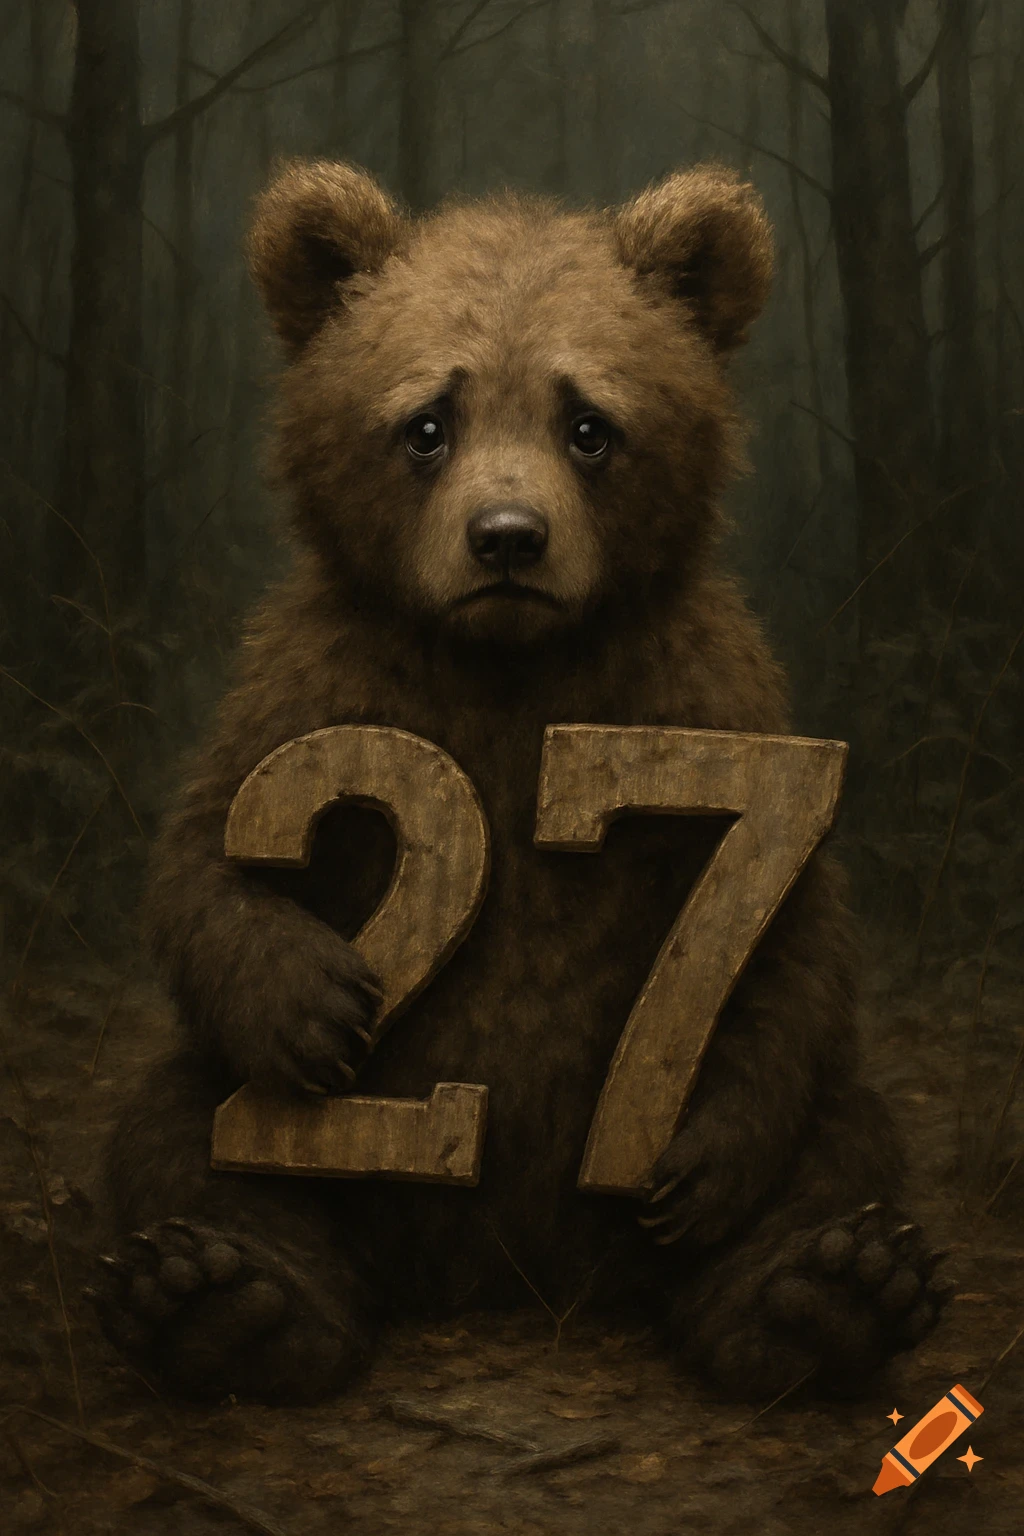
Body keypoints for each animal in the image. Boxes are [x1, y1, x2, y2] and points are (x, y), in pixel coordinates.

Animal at [91, 159, 949, 1405]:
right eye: (426, 423)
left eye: (588, 424)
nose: (507, 537)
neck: (507, 663)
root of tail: (512, 1271)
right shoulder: (317, 686)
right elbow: (209, 859)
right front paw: (314, 1001)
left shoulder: (702, 696)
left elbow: (783, 925)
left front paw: (696, 1145)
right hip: (267, 1126)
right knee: (179, 1128)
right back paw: (224, 1299)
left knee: (844, 1135)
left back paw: (821, 1294)